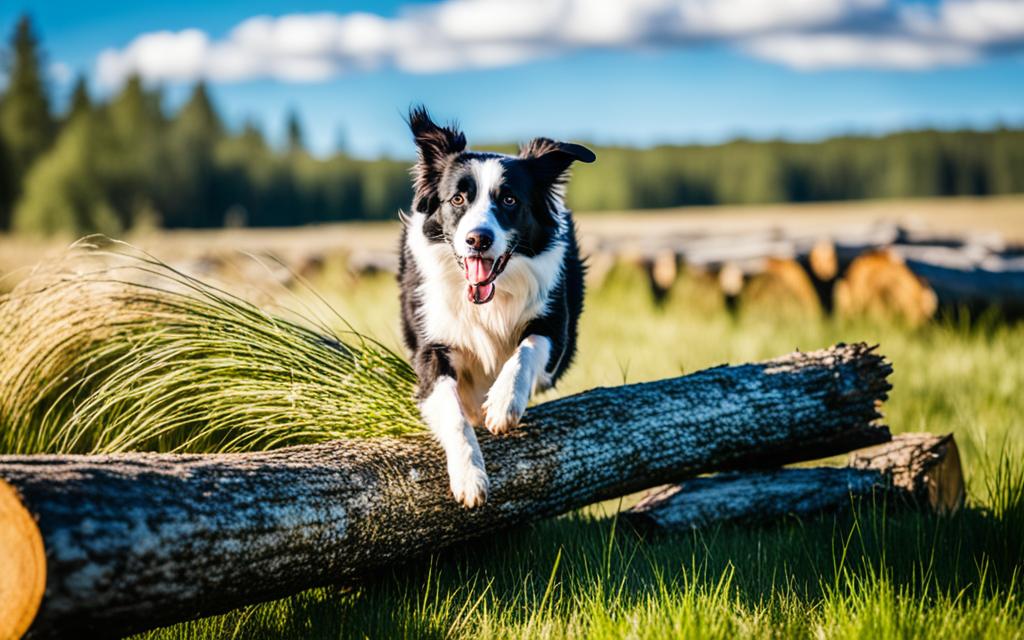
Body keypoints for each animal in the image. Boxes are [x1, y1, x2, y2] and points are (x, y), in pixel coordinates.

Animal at [397, 108, 593, 509]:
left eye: (509, 201)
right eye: (457, 199)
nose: (478, 239)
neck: (487, 299)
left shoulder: (555, 327)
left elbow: (527, 349)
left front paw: (503, 403)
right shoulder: (431, 347)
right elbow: (452, 411)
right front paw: (470, 477)